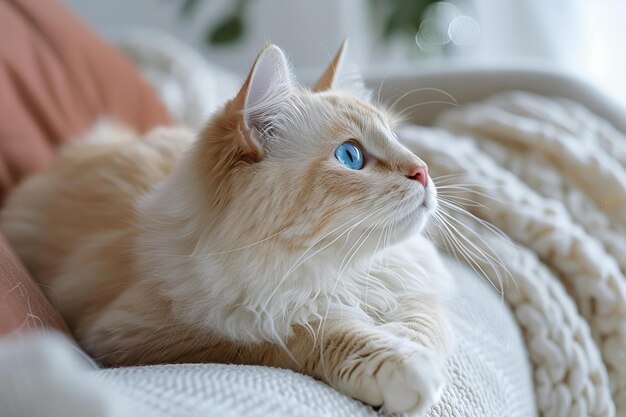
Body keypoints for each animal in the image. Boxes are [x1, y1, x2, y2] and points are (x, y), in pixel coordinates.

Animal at [0, 42, 450, 412]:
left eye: (395, 138)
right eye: (350, 156)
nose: (424, 171)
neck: (336, 271)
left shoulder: (413, 279)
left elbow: (422, 320)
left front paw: (414, 349)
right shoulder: (144, 335)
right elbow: (302, 332)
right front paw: (402, 365)